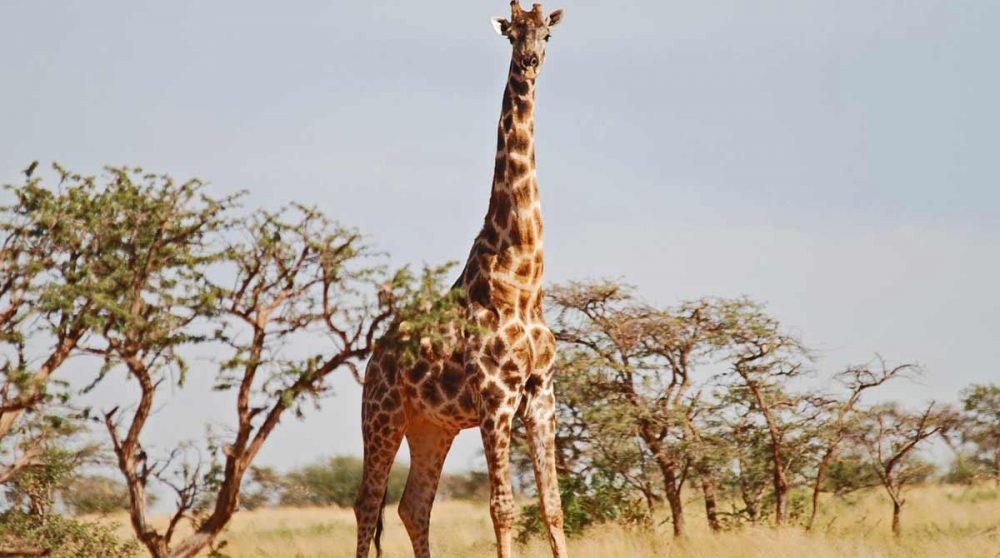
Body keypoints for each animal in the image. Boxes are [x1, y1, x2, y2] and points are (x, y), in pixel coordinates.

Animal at [353, 2, 566, 557]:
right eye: (513, 34)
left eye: (547, 34)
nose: (530, 62)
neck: (522, 282)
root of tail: (374, 358)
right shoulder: (495, 395)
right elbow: (503, 508)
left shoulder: (541, 395)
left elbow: (553, 508)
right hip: (382, 415)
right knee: (367, 504)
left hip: (433, 426)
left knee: (413, 505)